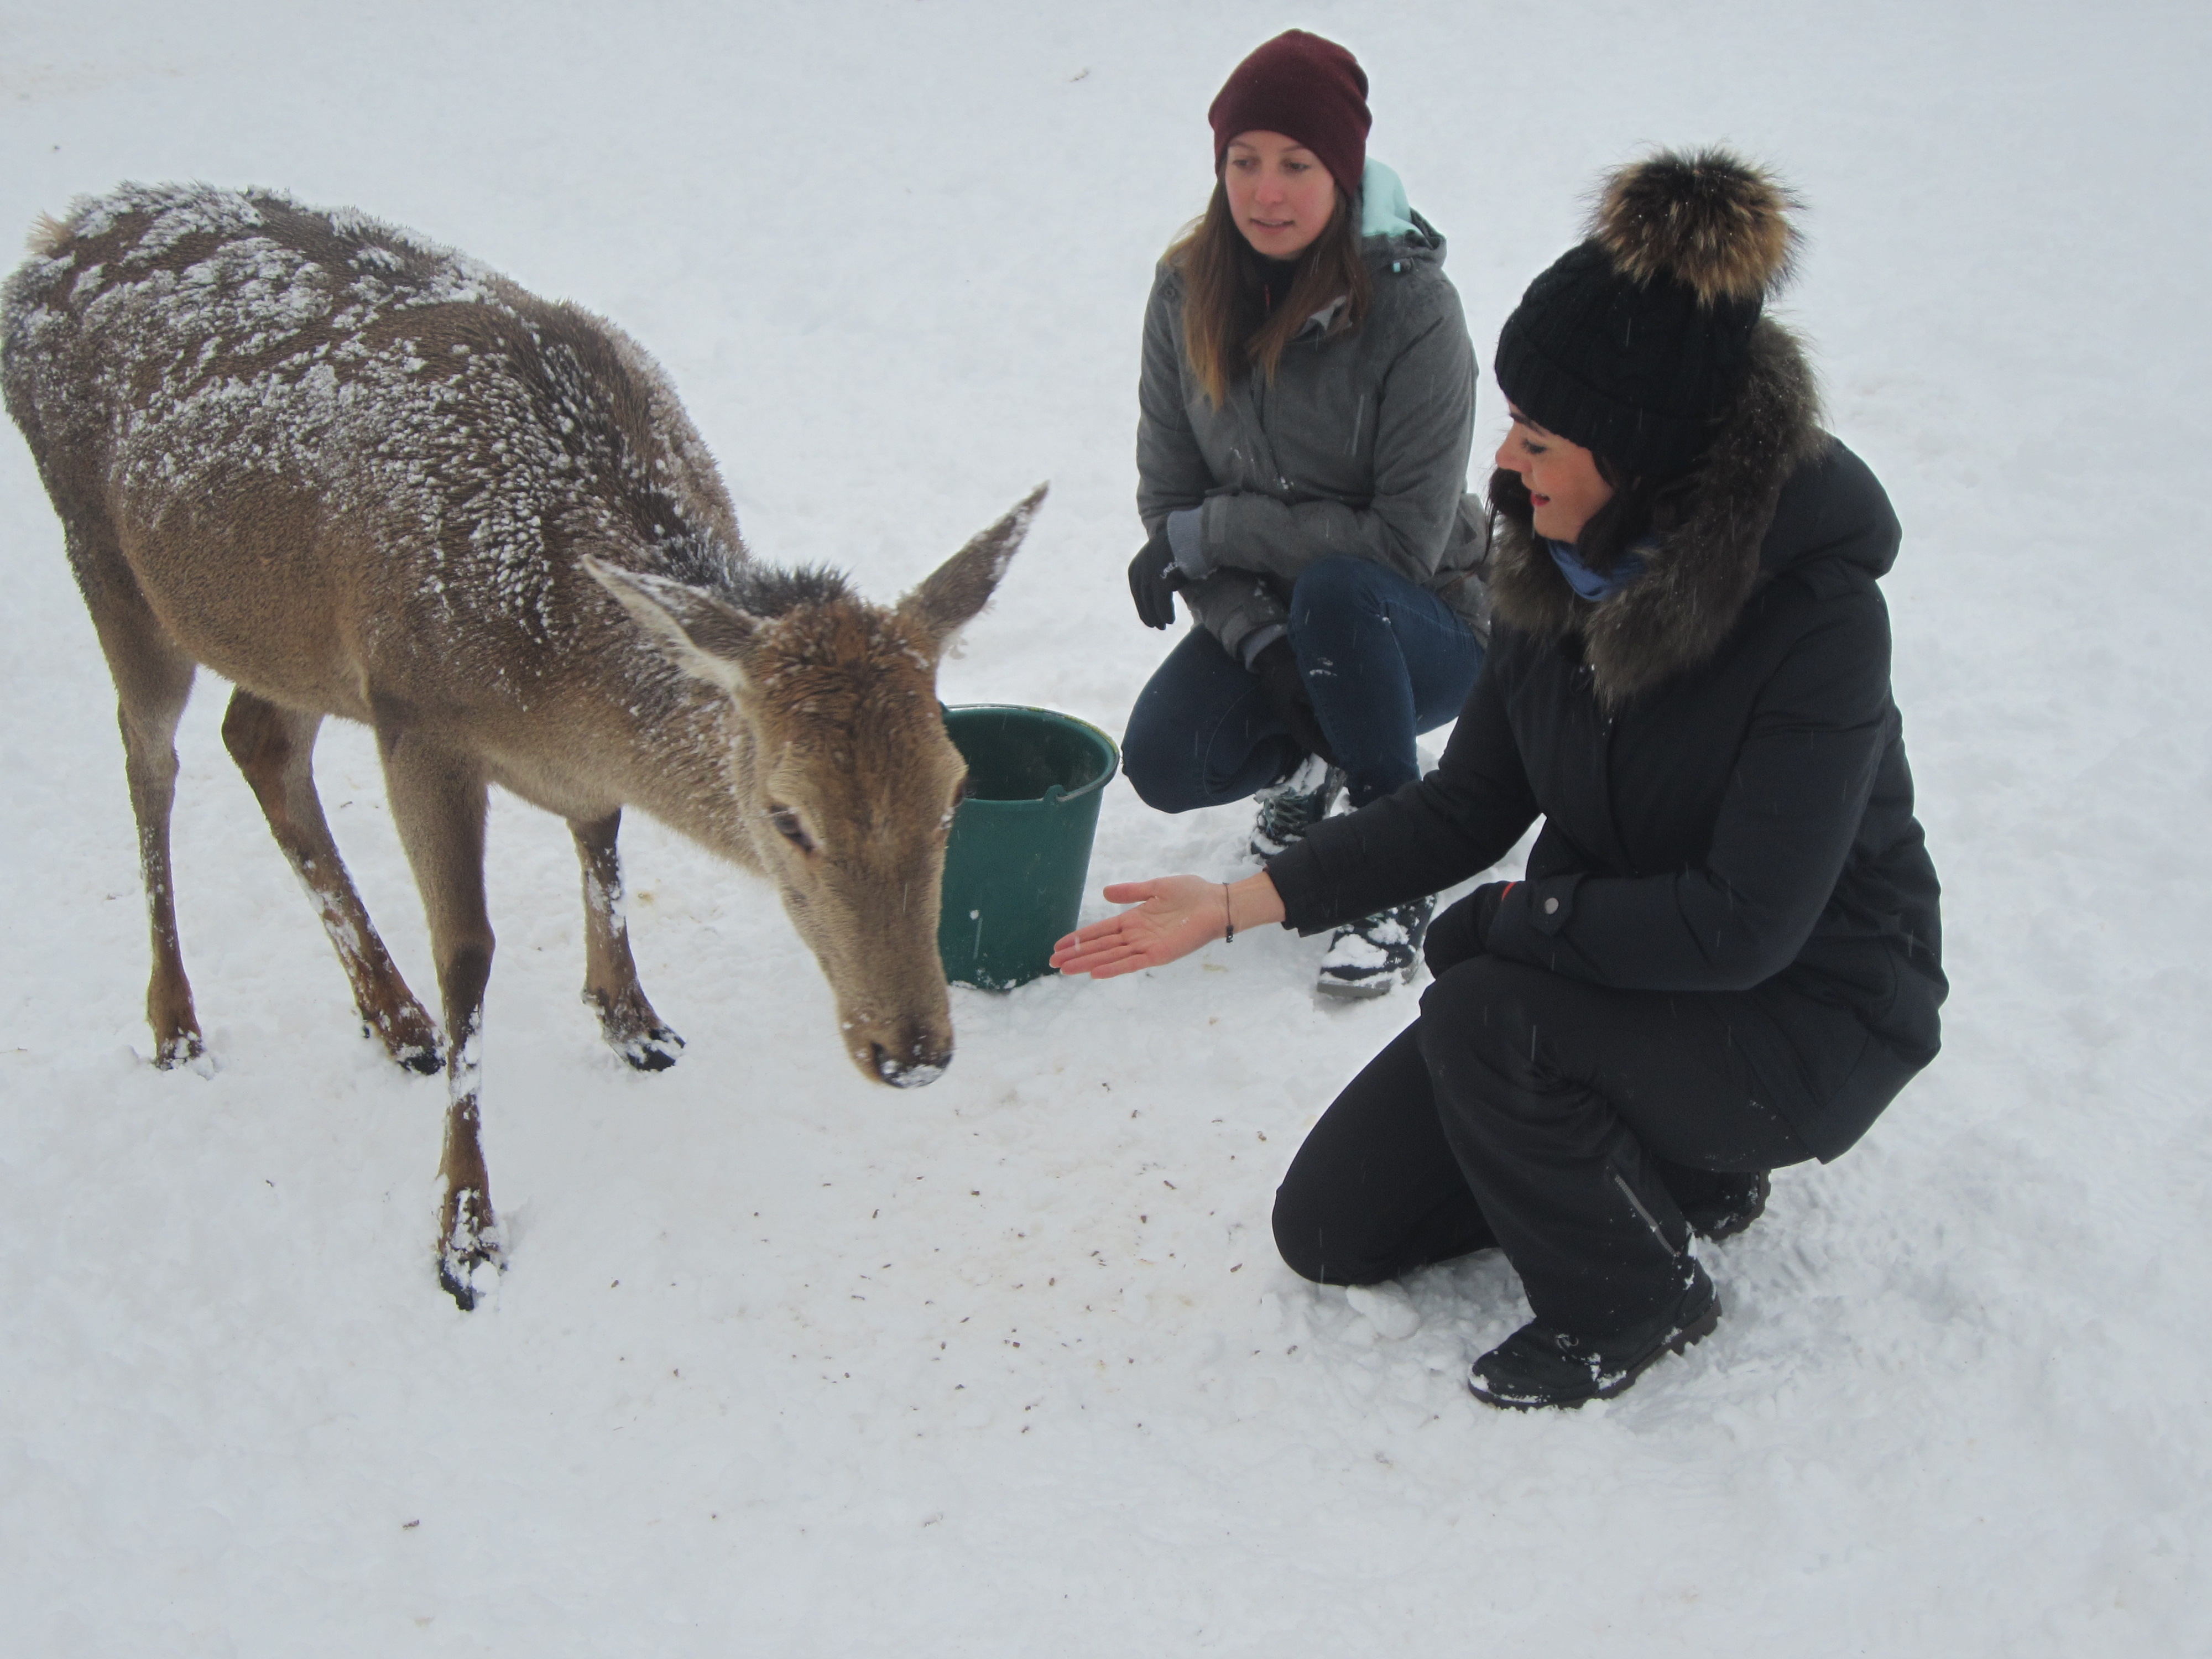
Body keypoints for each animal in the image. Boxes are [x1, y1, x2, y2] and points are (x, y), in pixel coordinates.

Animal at [2, 188, 1044, 1310]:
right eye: (787, 815)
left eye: (955, 791)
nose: (913, 1051)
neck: (554, 673)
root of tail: (49, 246)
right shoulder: (411, 712)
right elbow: (470, 956)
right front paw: (465, 1231)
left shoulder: (542, 750)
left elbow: (604, 842)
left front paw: (633, 1021)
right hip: (108, 563)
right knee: (148, 760)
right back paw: (178, 1024)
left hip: (284, 638)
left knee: (259, 739)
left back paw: (391, 1019)